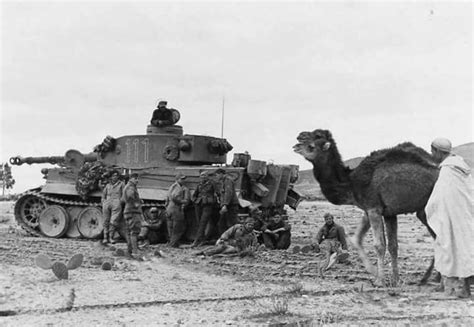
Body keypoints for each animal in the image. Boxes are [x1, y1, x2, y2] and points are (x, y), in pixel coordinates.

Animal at [294, 129, 438, 286]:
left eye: (316, 139)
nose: (299, 138)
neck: (352, 182)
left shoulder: (373, 208)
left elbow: (379, 245)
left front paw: (379, 280)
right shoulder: (388, 213)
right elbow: (392, 245)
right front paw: (395, 280)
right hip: (424, 211)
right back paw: (433, 278)